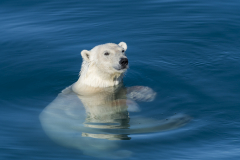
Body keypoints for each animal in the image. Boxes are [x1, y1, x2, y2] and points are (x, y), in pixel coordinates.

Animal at [39, 42, 189, 158]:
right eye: (106, 53)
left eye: (123, 50)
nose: (123, 60)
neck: (97, 84)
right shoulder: (90, 100)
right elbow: (107, 107)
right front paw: (133, 105)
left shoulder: (117, 88)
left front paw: (145, 93)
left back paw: (179, 120)